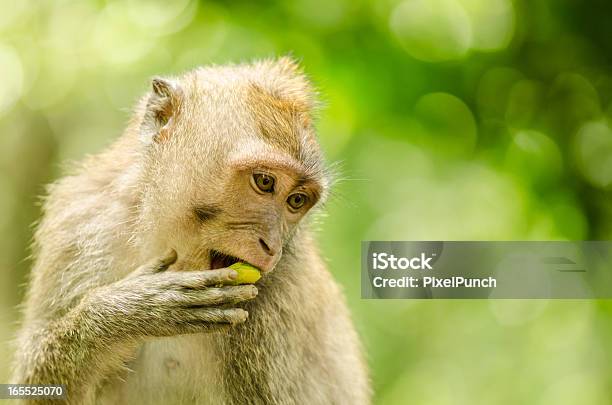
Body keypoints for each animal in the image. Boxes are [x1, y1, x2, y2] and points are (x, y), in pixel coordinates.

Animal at [11, 57, 370, 404]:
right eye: (265, 182)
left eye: (296, 200)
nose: (273, 246)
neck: (164, 241)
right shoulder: (78, 223)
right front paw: (127, 313)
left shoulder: (274, 303)